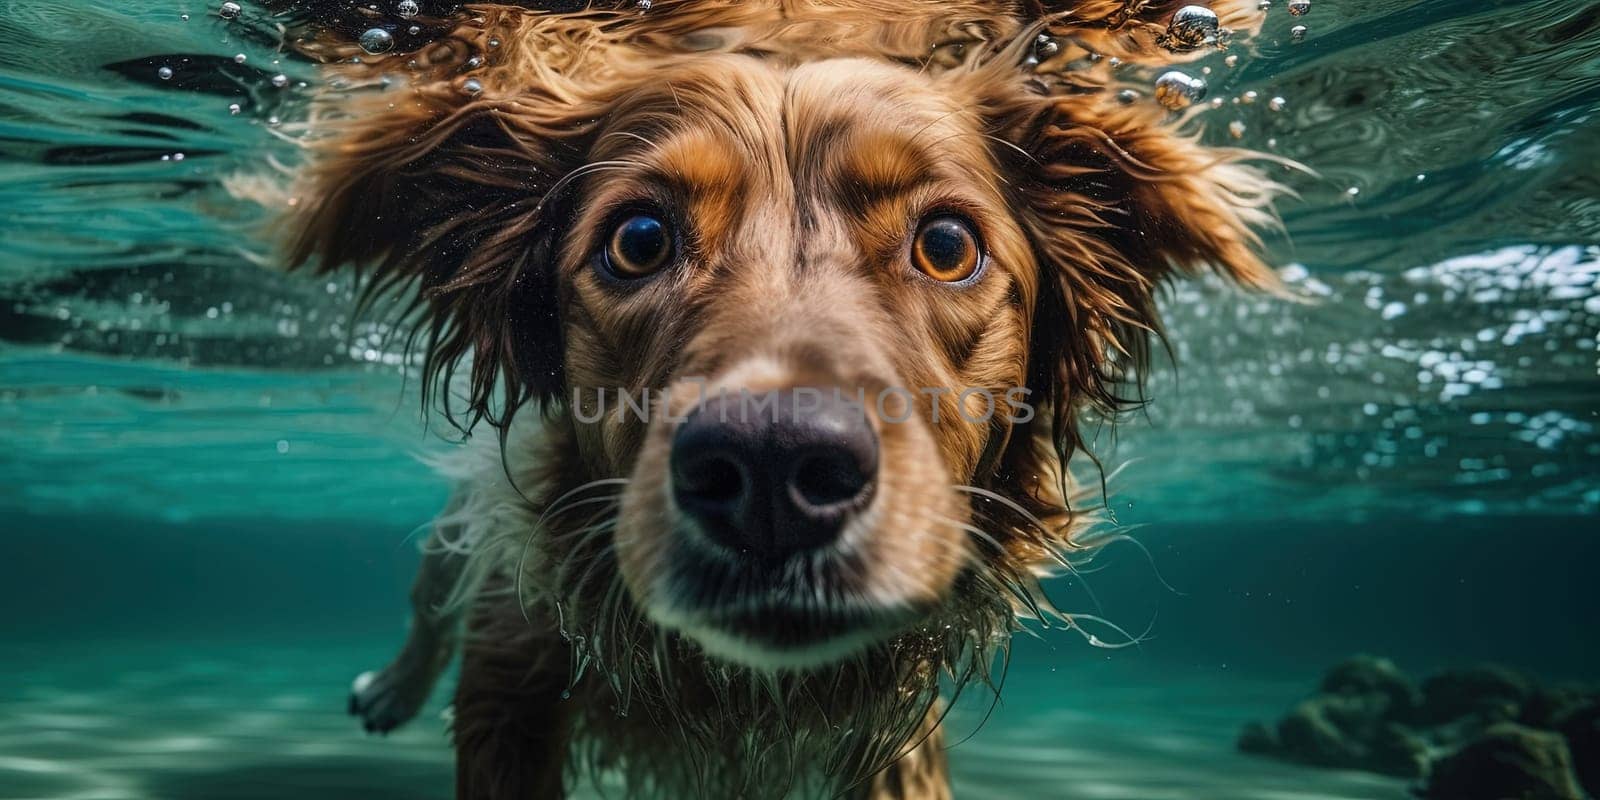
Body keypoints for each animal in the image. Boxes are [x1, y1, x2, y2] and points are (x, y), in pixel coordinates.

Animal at [272, 3, 1273, 796]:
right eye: (639, 239)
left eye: (947, 244)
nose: (773, 469)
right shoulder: (510, 670)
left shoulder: (890, 733)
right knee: (427, 600)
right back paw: (390, 689)